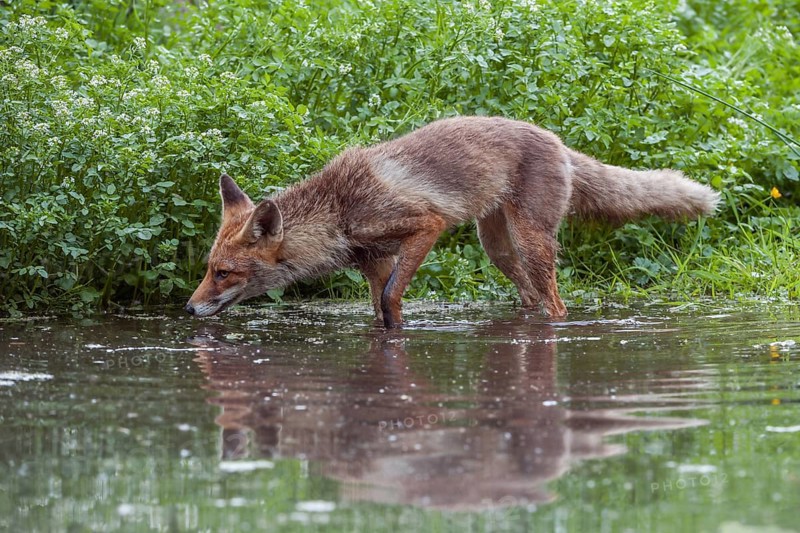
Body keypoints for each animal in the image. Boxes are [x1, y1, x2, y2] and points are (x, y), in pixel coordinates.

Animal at [185, 116, 719, 327]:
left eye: (224, 273)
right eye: (208, 268)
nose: (188, 310)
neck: (339, 210)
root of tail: (556, 139)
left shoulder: (426, 225)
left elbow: (391, 298)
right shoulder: (374, 260)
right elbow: (381, 310)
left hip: (532, 241)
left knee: (556, 305)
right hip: (497, 249)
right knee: (529, 299)